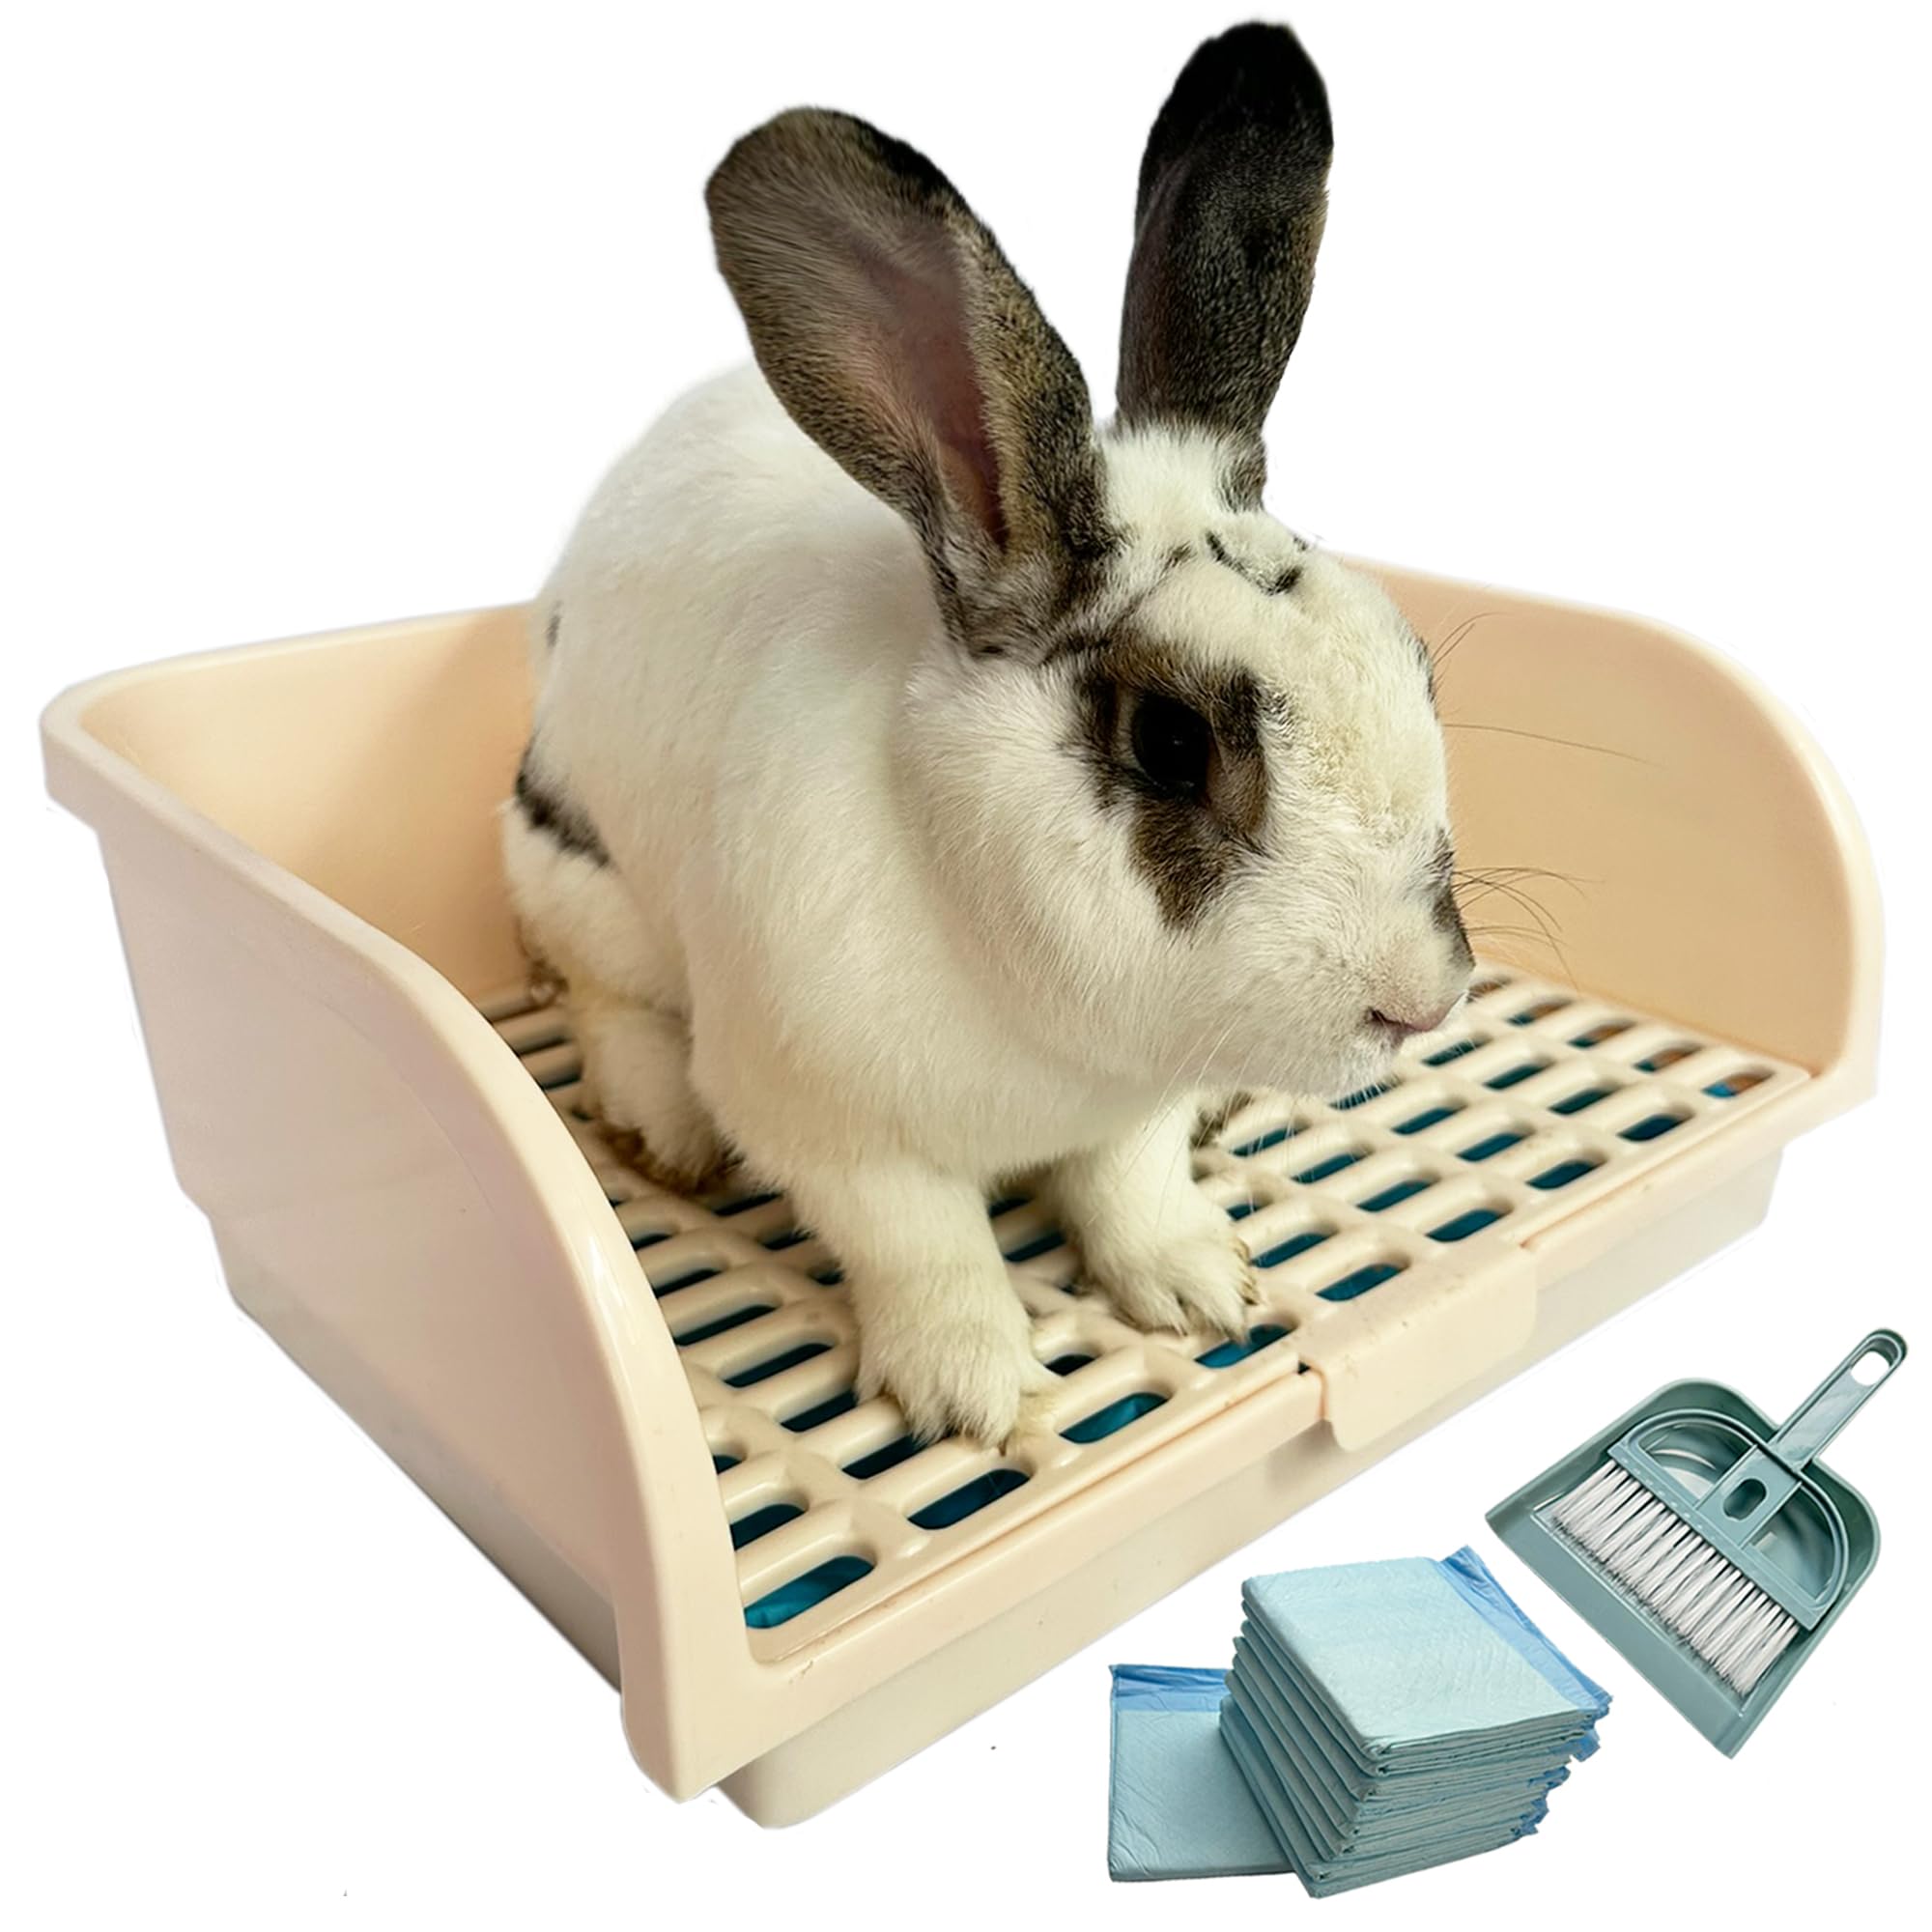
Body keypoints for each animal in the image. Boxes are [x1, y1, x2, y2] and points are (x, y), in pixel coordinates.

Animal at [501, 21, 1473, 1447]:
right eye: (1170, 743)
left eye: (1415, 663)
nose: (1422, 999)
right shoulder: (831, 1126)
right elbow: (923, 1246)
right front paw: (971, 1393)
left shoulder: (1131, 1102)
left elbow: (1129, 1186)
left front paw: (1199, 1285)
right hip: (575, 875)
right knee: (603, 994)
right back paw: (660, 1125)